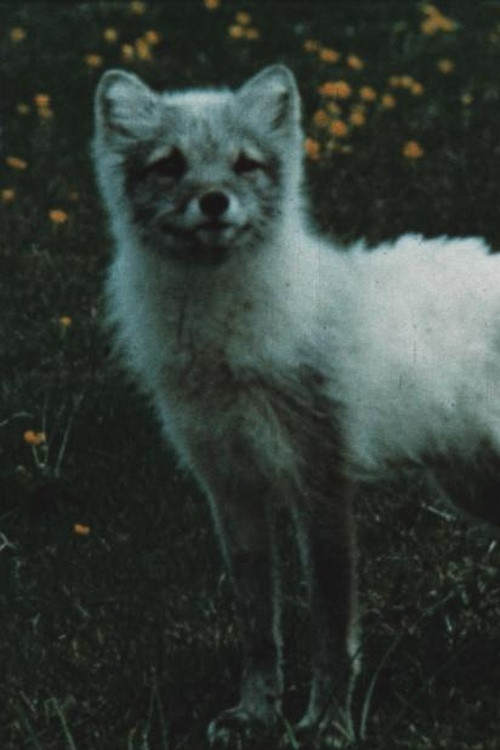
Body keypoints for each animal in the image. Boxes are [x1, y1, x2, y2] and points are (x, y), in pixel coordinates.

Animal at [93, 64, 500, 746]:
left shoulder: (321, 485)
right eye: (170, 165)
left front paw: (328, 724)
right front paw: (256, 713)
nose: (214, 202)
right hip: (470, 485)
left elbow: (331, 629)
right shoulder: (230, 488)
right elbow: (259, 627)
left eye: (244, 163)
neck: (221, 336)